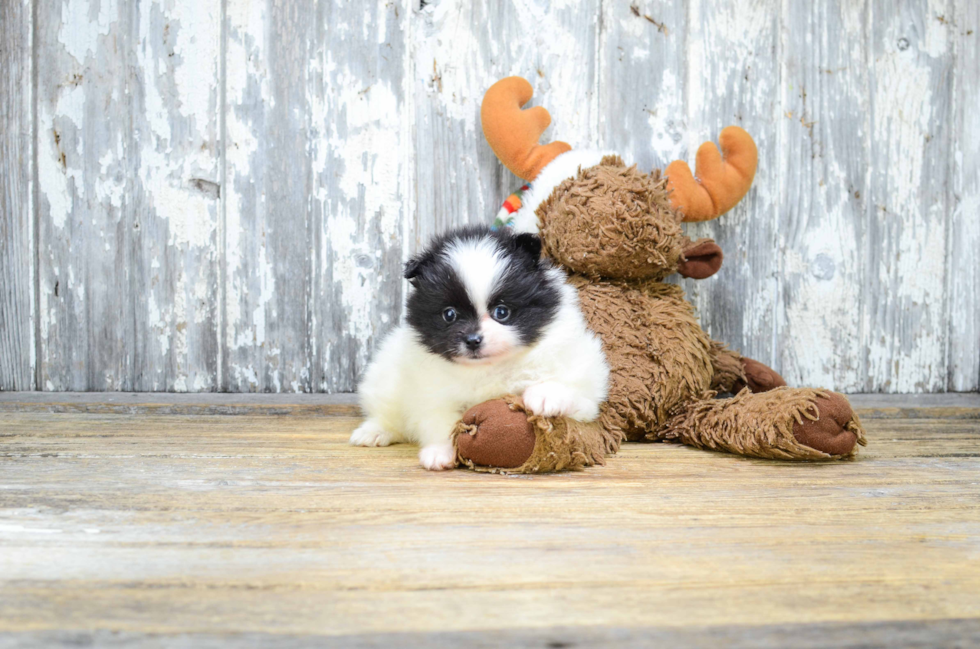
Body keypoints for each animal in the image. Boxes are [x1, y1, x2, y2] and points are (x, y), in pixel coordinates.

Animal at [348, 225, 608, 468]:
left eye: (501, 312)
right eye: (449, 314)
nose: (473, 339)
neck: (489, 367)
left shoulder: (582, 375)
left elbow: (574, 391)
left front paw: (546, 396)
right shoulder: (432, 395)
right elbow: (441, 423)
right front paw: (440, 453)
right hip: (385, 380)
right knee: (387, 413)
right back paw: (373, 432)